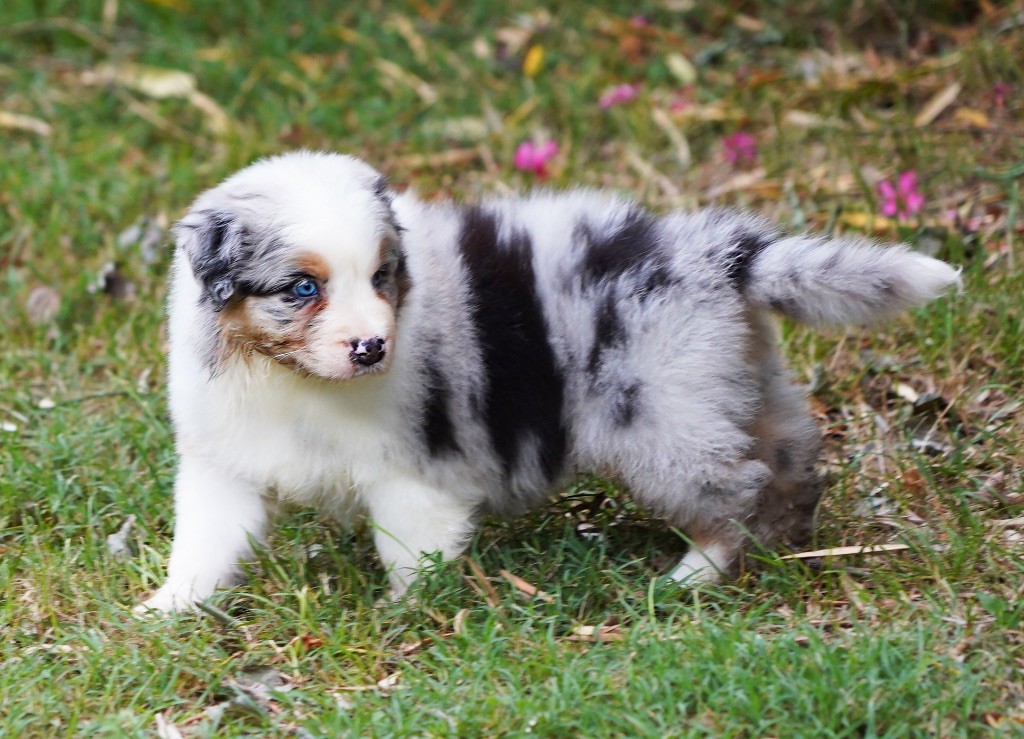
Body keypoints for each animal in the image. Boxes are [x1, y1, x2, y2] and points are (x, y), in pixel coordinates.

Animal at [136, 149, 958, 610]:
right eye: (302, 289)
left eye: (381, 276)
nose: (372, 347)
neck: (289, 376)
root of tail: (719, 255)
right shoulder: (224, 460)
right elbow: (206, 541)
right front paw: (169, 607)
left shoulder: (411, 477)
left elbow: (411, 551)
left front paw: (409, 614)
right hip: (735, 382)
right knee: (791, 455)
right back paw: (788, 542)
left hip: (661, 424)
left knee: (734, 488)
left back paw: (694, 575)